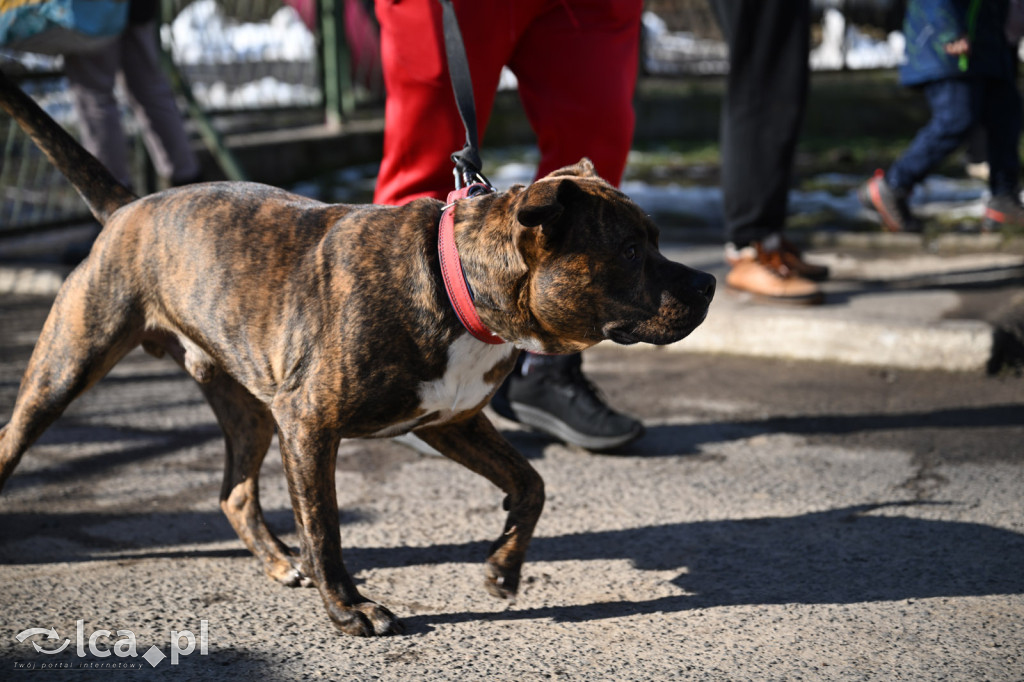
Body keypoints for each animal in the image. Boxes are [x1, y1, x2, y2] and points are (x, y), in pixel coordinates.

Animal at [0, 69, 712, 630]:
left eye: (654, 237)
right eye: (630, 249)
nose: (706, 283)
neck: (452, 281)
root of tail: (129, 207)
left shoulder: (451, 420)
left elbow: (531, 483)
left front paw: (504, 568)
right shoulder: (310, 426)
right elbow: (326, 526)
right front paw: (348, 610)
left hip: (249, 408)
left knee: (235, 493)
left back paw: (278, 564)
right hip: (66, 368)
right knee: (14, 437)